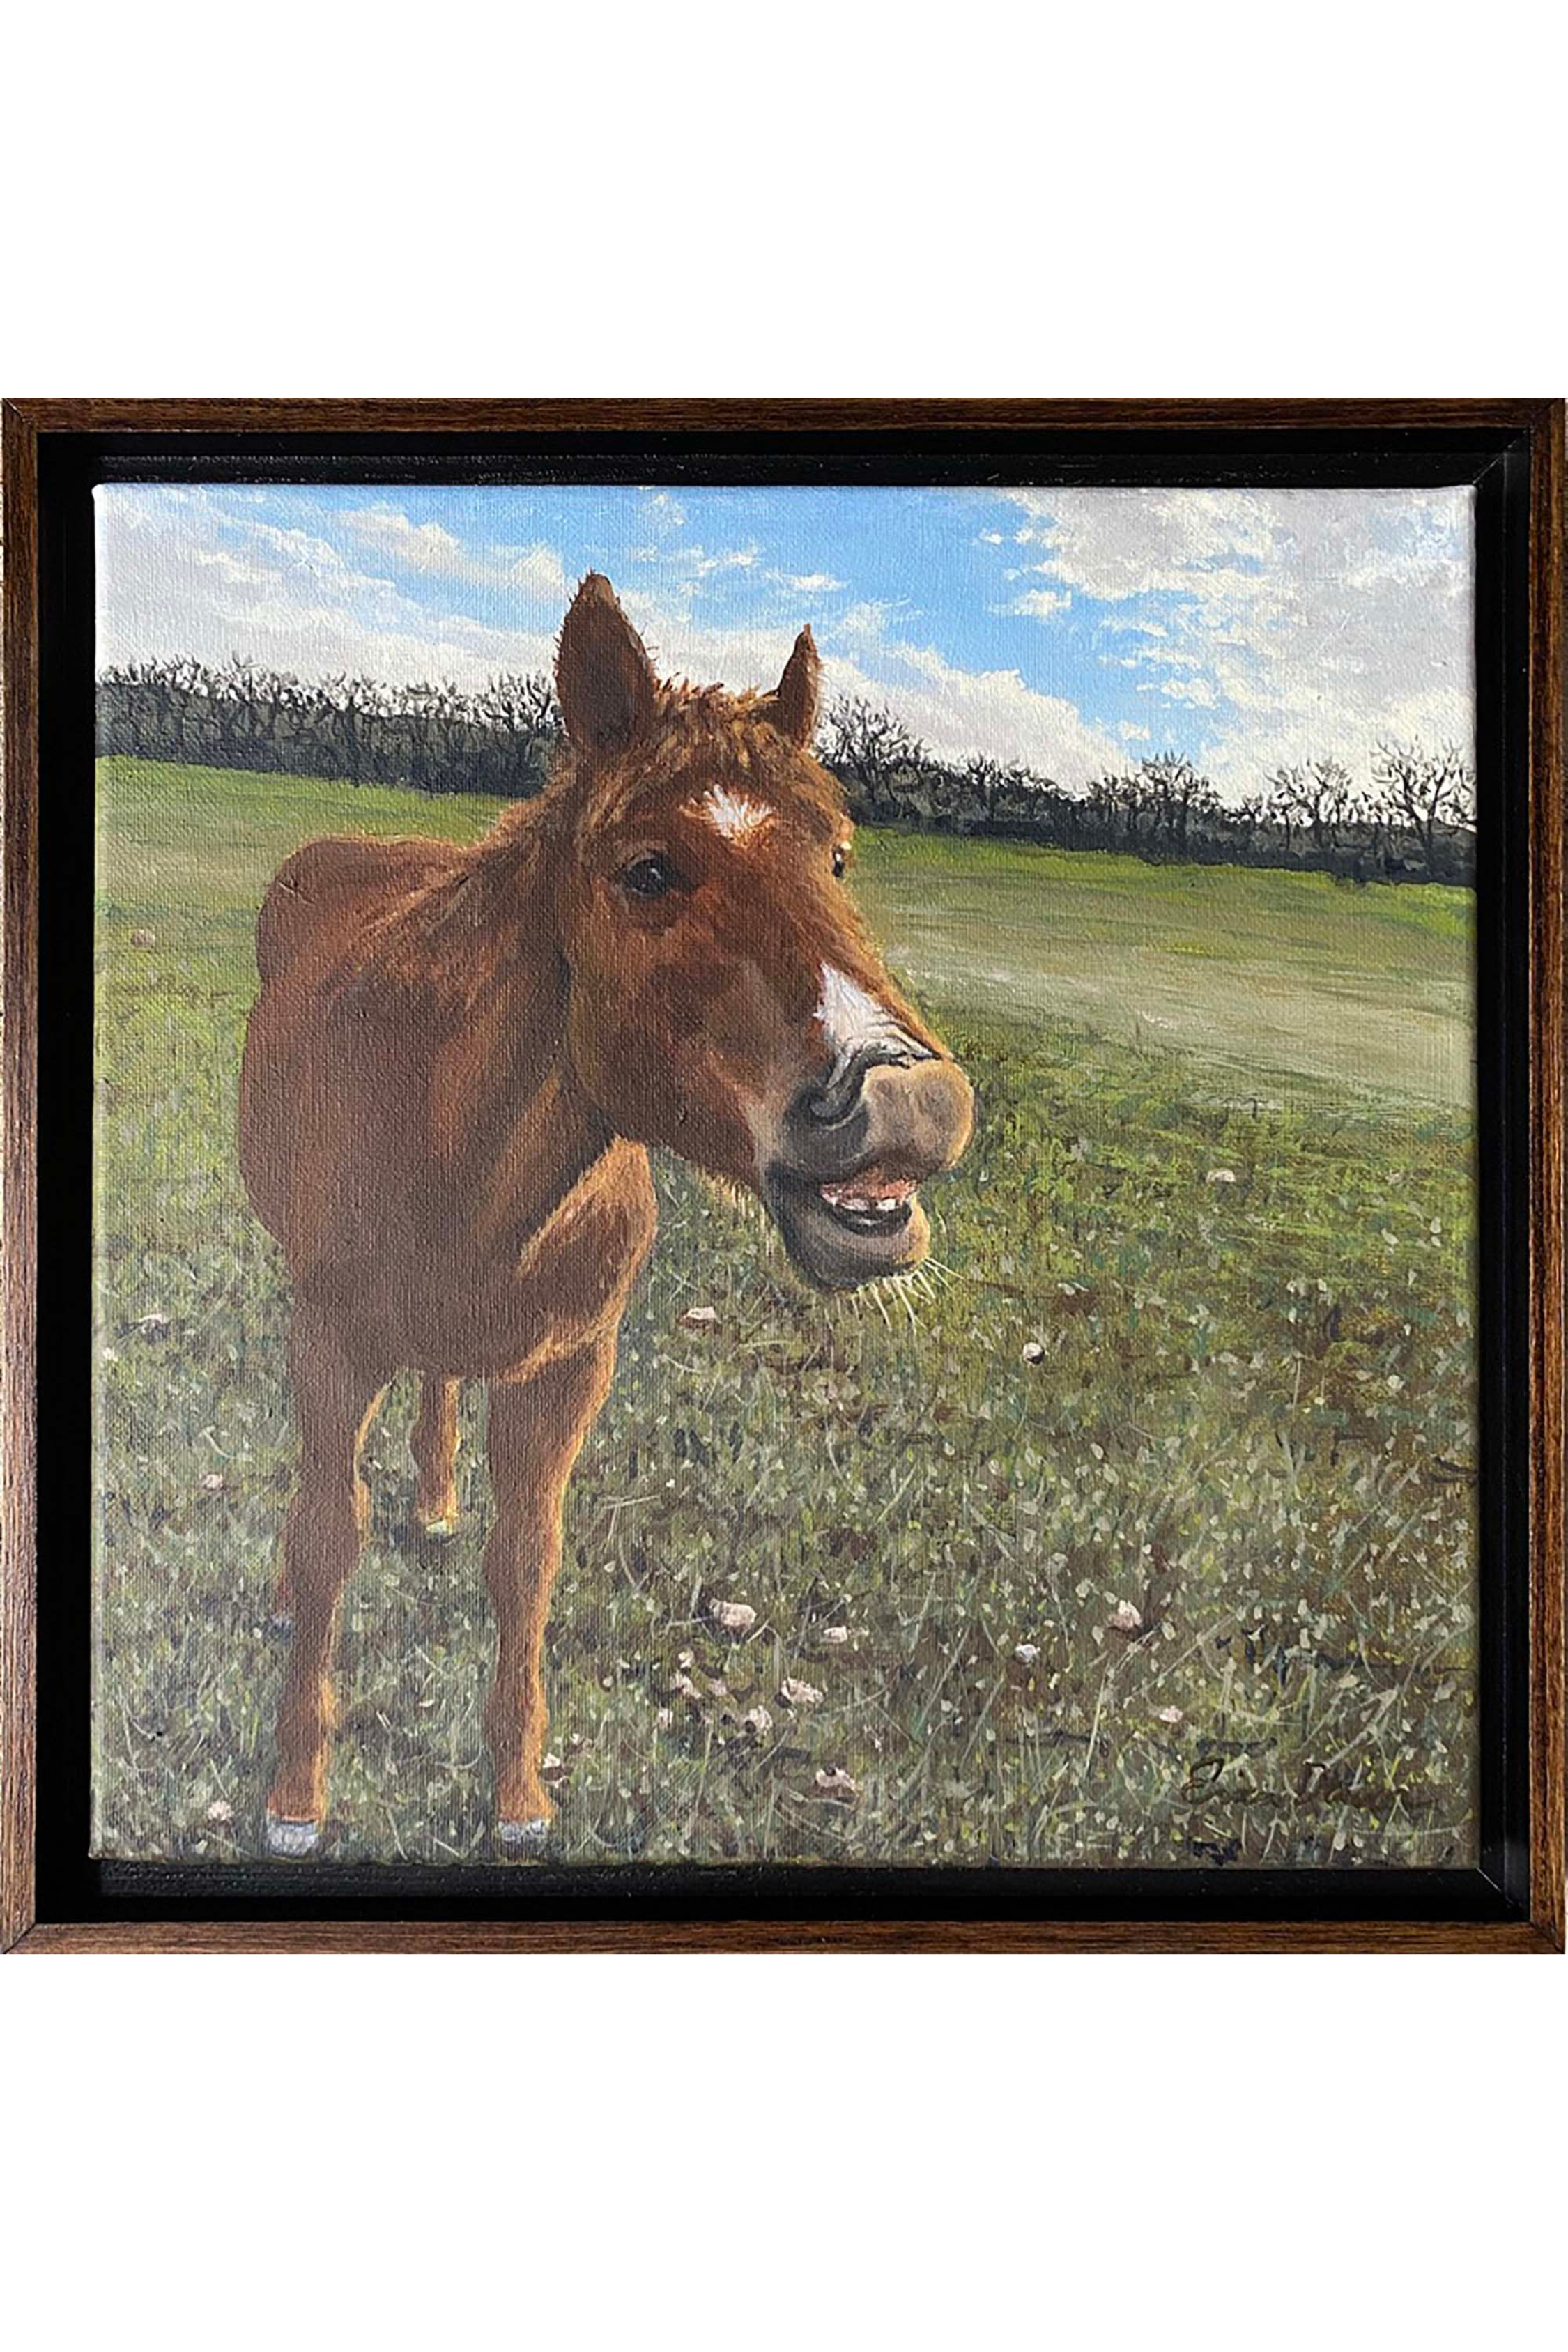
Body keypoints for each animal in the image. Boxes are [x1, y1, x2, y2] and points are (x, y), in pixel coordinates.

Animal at [239, 573, 974, 1857]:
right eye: (646, 870)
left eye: (838, 856)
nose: (907, 1104)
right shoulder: (328, 1344)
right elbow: (326, 1537)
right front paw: (296, 1798)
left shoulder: (571, 1364)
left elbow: (525, 1561)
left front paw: (518, 1798)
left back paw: (435, 1503)